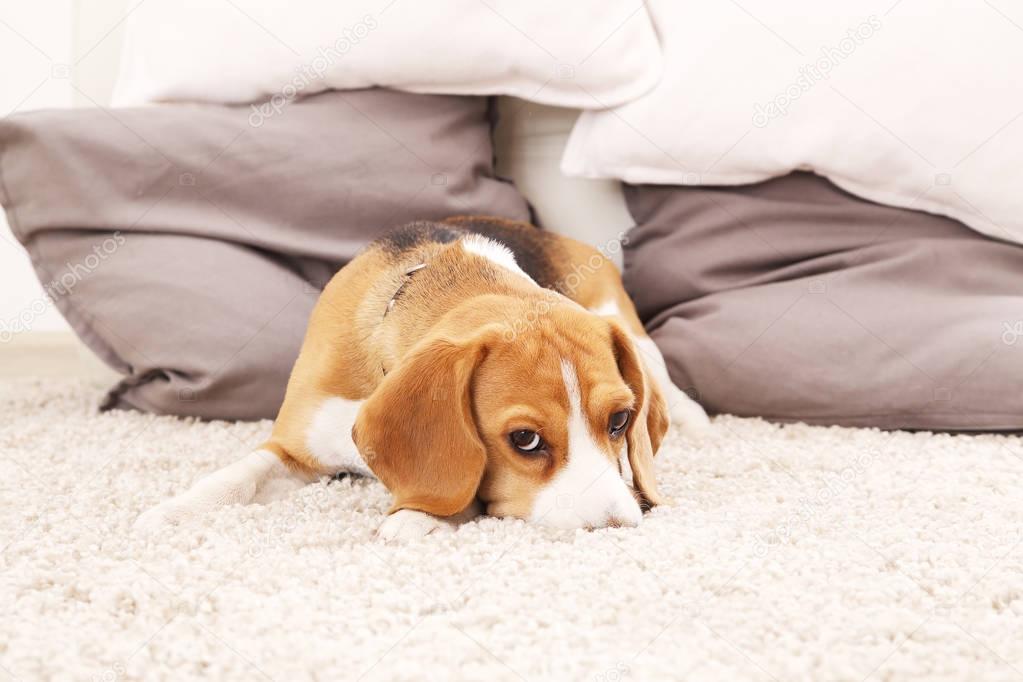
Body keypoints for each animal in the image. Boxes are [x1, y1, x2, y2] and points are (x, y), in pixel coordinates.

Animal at [136, 217, 707, 539]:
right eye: (525, 439)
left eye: (619, 422)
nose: (617, 528)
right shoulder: (296, 445)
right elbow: (238, 476)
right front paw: (173, 512)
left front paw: (416, 516)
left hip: (622, 320)